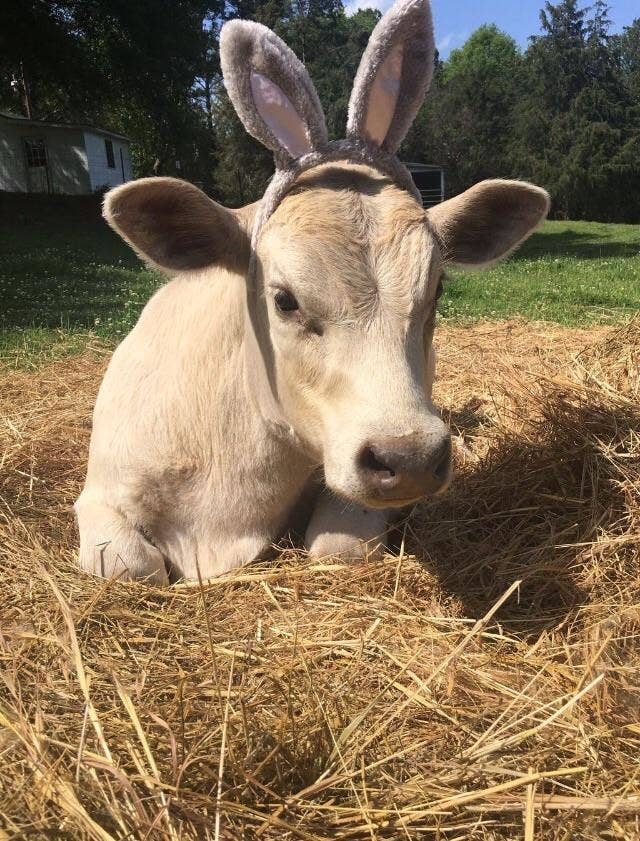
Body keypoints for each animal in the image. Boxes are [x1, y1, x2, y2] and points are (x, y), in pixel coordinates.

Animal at [75, 0, 549, 584]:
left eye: (437, 290)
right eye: (284, 300)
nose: (410, 458)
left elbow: (338, 546)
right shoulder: (101, 494)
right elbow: (132, 567)